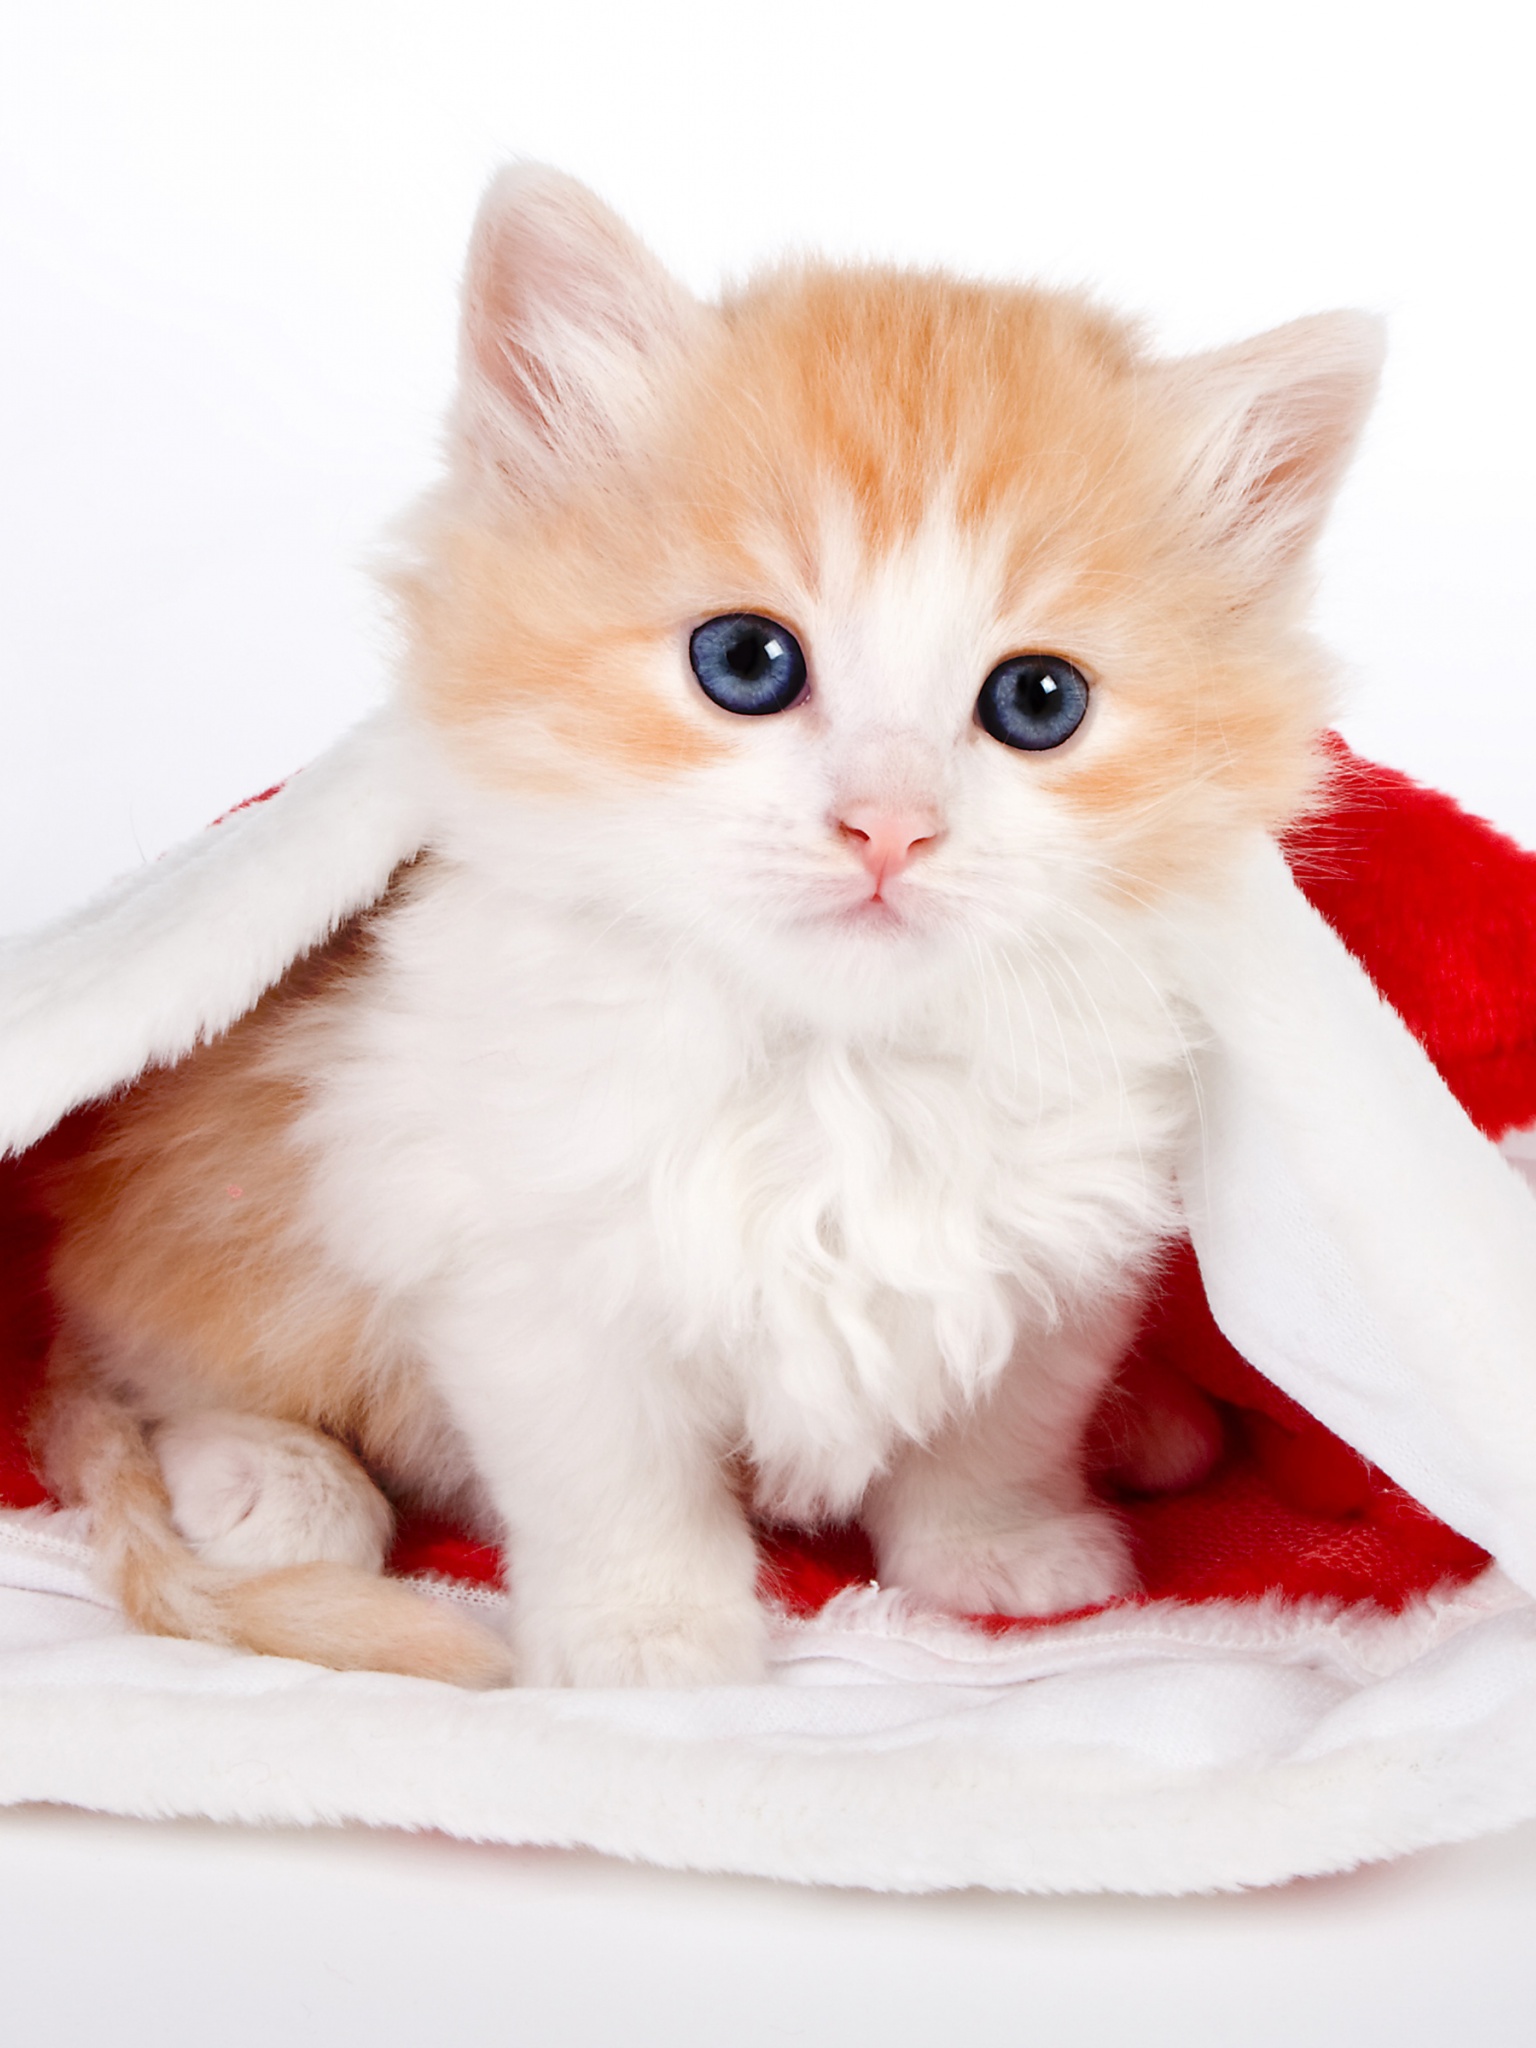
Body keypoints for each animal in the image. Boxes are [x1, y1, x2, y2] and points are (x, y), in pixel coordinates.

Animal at [33, 167, 1384, 1687]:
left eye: (1039, 700)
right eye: (745, 661)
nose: (887, 827)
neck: (838, 1073)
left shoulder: (1060, 1251)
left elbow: (1000, 1417)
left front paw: (1000, 1546)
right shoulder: (508, 1241)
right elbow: (611, 1473)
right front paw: (650, 1635)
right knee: (157, 1371)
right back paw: (271, 1480)